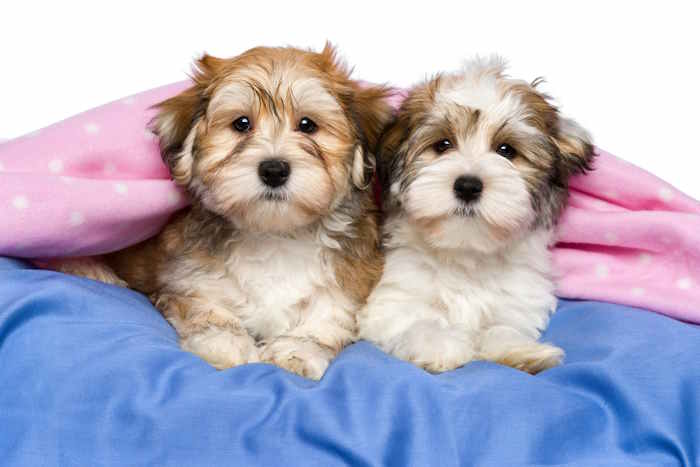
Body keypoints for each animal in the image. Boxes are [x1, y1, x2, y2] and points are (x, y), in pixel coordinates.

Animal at [56, 44, 392, 380]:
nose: (273, 170)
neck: (275, 235)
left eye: (307, 125)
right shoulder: (189, 279)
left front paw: (296, 352)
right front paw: (227, 345)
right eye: (241, 124)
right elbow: (208, 310)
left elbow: (327, 318)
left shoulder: (349, 284)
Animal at [358, 57, 592, 372]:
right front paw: (438, 346)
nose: (468, 186)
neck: (466, 253)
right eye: (442, 145)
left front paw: (519, 350)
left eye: (506, 150)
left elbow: (504, 326)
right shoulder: (392, 301)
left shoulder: (517, 301)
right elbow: (418, 322)